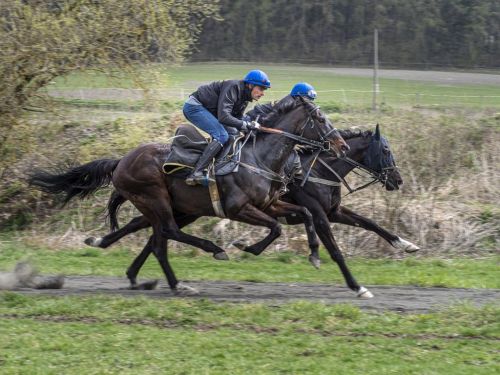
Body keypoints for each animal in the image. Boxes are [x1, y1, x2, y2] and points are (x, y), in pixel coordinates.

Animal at [28, 95, 348, 296]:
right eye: (320, 118)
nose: (341, 145)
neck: (260, 157)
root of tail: (120, 161)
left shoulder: (270, 203)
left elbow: (303, 215)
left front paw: (314, 254)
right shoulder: (238, 208)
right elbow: (277, 228)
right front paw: (245, 246)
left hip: (169, 207)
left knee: (156, 239)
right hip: (155, 198)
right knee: (166, 233)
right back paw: (209, 253)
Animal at [84, 126, 416, 300]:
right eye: (386, 151)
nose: (398, 180)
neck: (318, 169)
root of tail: (122, 162)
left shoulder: (333, 210)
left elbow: (370, 223)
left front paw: (405, 244)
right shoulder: (319, 214)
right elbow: (334, 249)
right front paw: (357, 286)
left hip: (183, 209)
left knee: (150, 232)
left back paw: (129, 269)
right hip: (169, 204)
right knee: (157, 231)